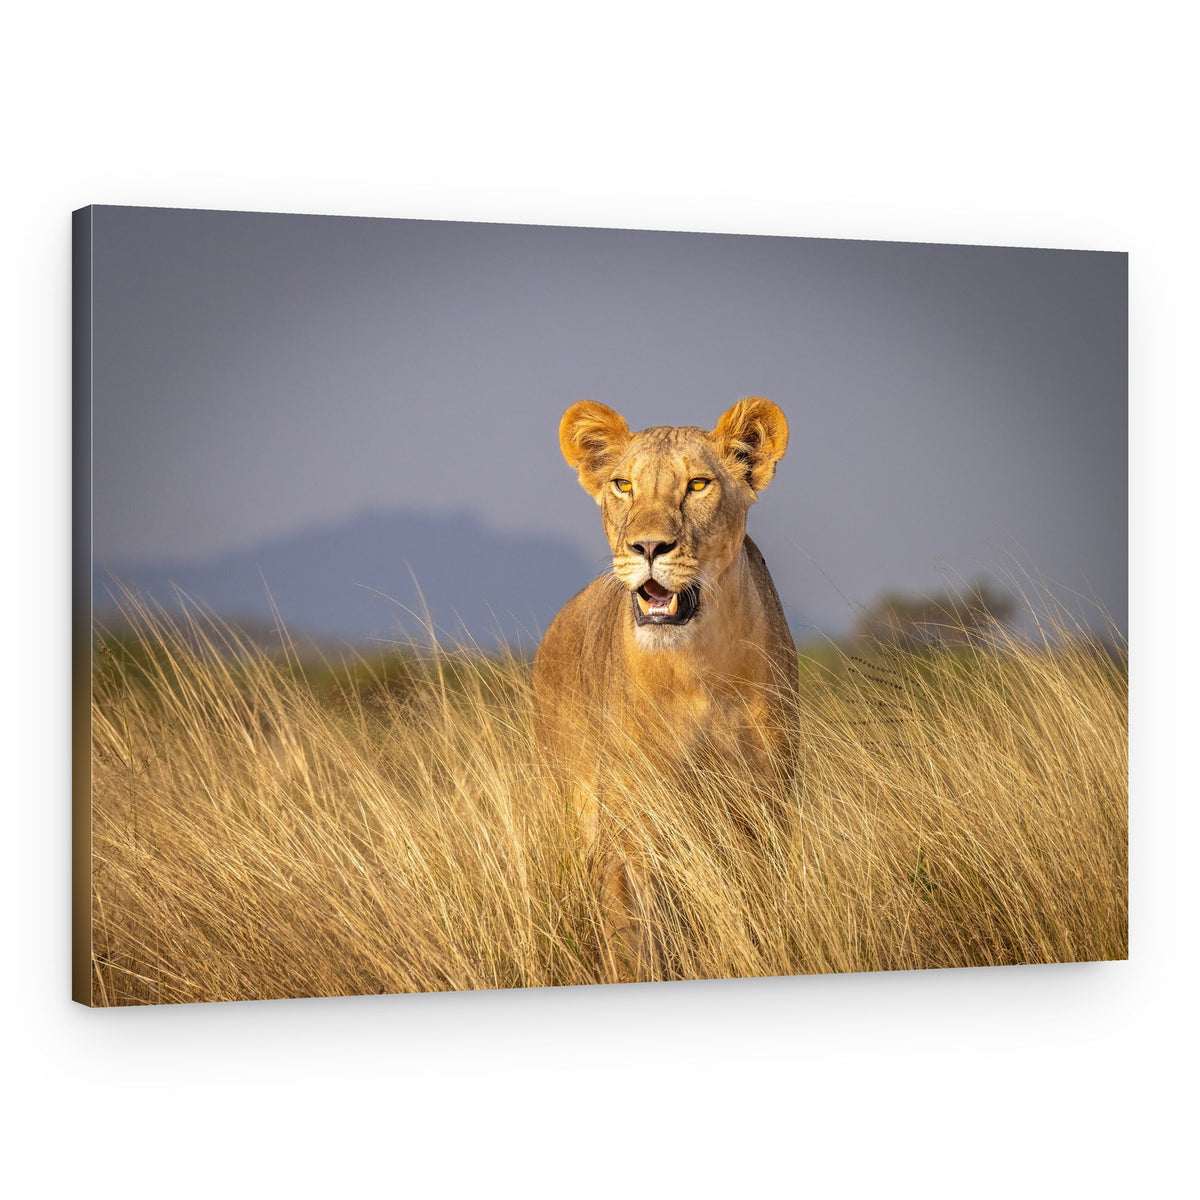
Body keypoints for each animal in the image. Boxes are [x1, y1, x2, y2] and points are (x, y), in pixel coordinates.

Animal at [533, 396, 798, 982]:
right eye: (623, 485)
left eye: (698, 485)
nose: (648, 546)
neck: (696, 670)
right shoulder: (634, 819)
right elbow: (633, 932)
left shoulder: (766, 804)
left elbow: (762, 910)